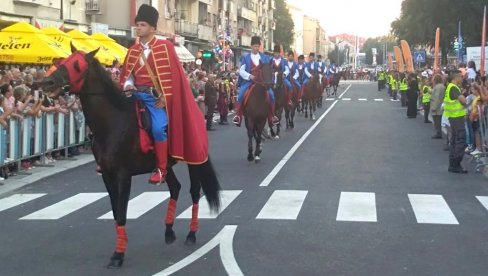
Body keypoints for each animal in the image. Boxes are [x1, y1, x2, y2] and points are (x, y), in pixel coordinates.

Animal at [42, 46, 221, 268]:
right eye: (63, 60)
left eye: (76, 65)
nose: (47, 82)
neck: (112, 123)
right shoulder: (107, 175)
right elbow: (115, 212)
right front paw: (119, 251)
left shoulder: (123, 175)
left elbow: (122, 213)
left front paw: (118, 255)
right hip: (165, 165)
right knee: (175, 187)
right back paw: (169, 231)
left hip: (193, 160)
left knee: (194, 192)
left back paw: (191, 234)